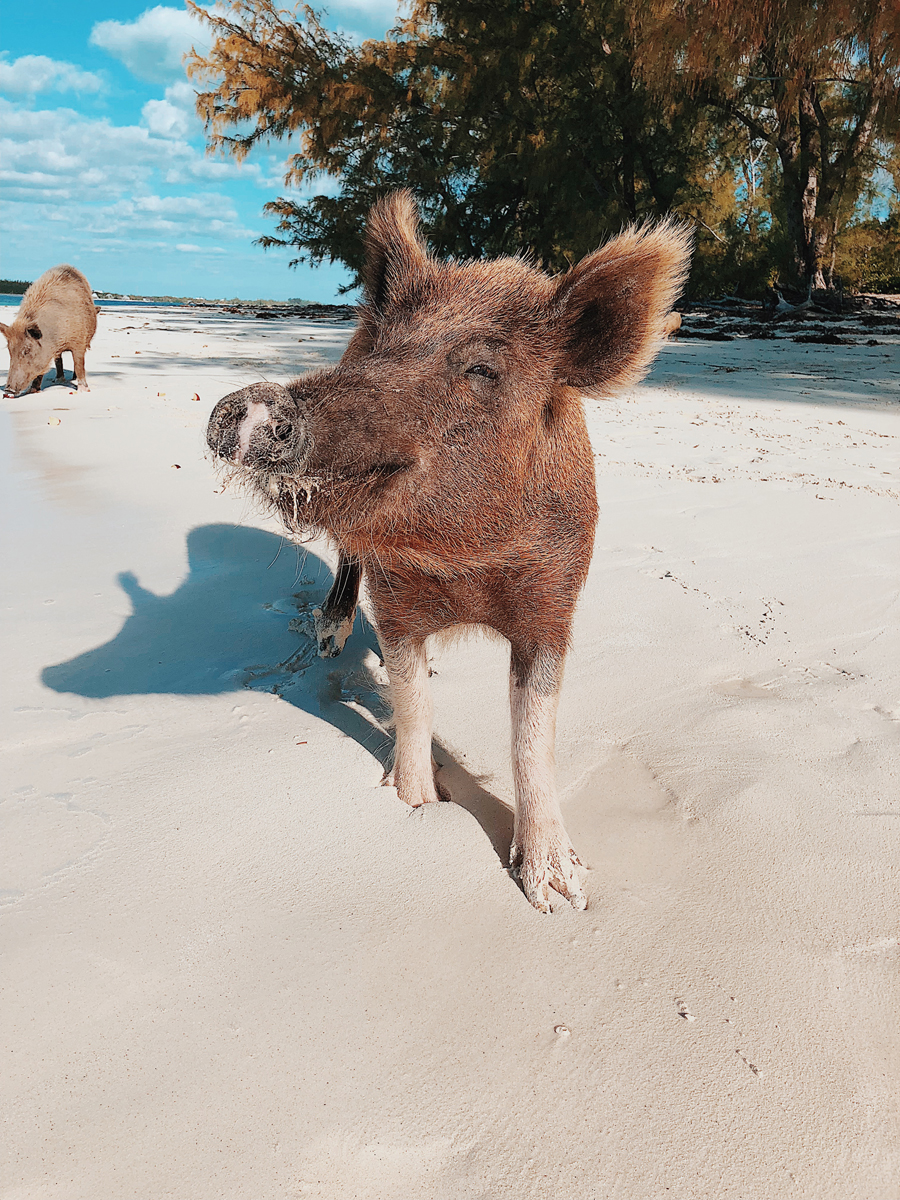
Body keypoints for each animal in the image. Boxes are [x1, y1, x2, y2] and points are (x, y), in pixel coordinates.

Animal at [0, 262, 98, 393]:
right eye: (10, 351)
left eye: (27, 350)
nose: (8, 390)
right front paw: (33, 391)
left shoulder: (79, 340)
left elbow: (79, 364)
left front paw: (84, 390)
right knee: (58, 361)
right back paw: (58, 380)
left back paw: (73, 378)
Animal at [207, 192, 696, 907]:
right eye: (382, 350)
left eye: (482, 369)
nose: (242, 404)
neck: (465, 563)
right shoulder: (397, 602)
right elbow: (412, 706)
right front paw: (413, 805)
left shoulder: (553, 607)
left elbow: (532, 732)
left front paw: (561, 895)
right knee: (346, 562)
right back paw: (328, 640)